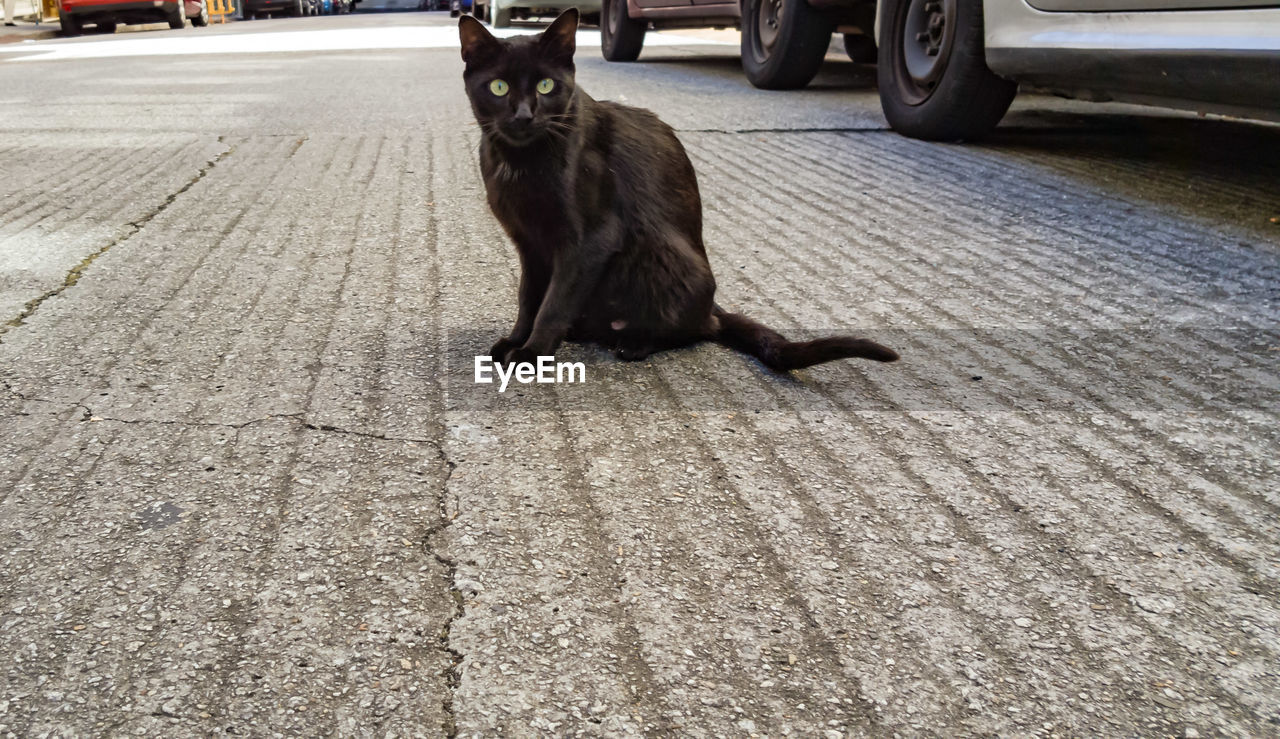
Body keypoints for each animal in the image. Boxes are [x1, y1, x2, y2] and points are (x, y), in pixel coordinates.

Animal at [463, 9, 901, 368]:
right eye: (499, 87)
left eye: (546, 86)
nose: (524, 115)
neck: (519, 163)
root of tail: (712, 302)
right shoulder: (530, 243)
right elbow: (529, 297)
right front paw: (517, 340)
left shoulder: (589, 240)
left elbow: (553, 303)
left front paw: (533, 353)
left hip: (660, 251)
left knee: (700, 329)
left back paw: (636, 342)